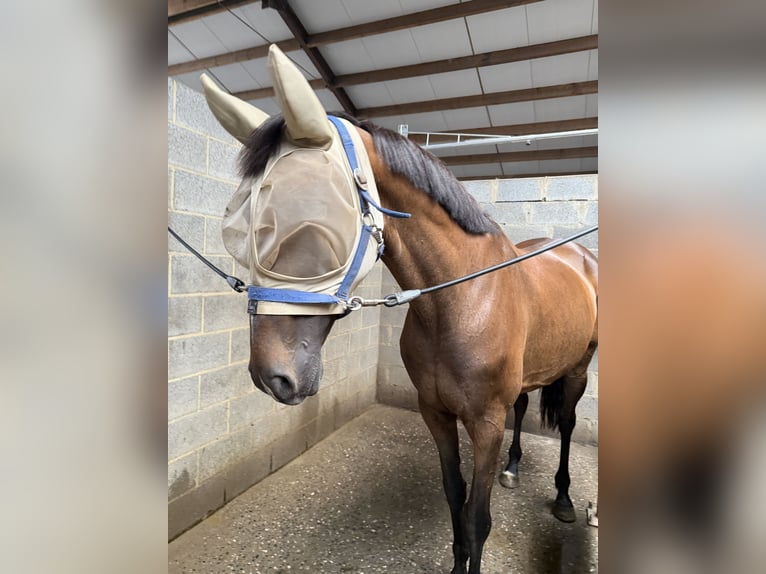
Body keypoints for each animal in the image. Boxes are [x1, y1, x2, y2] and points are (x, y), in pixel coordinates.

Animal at [201, 45, 598, 574]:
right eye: (236, 228)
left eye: (312, 225)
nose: (271, 376)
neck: (459, 303)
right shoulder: (435, 412)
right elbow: (454, 496)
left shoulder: (485, 424)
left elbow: (478, 518)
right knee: (523, 405)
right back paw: (514, 469)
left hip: (578, 369)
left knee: (569, 425)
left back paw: (565, 499)